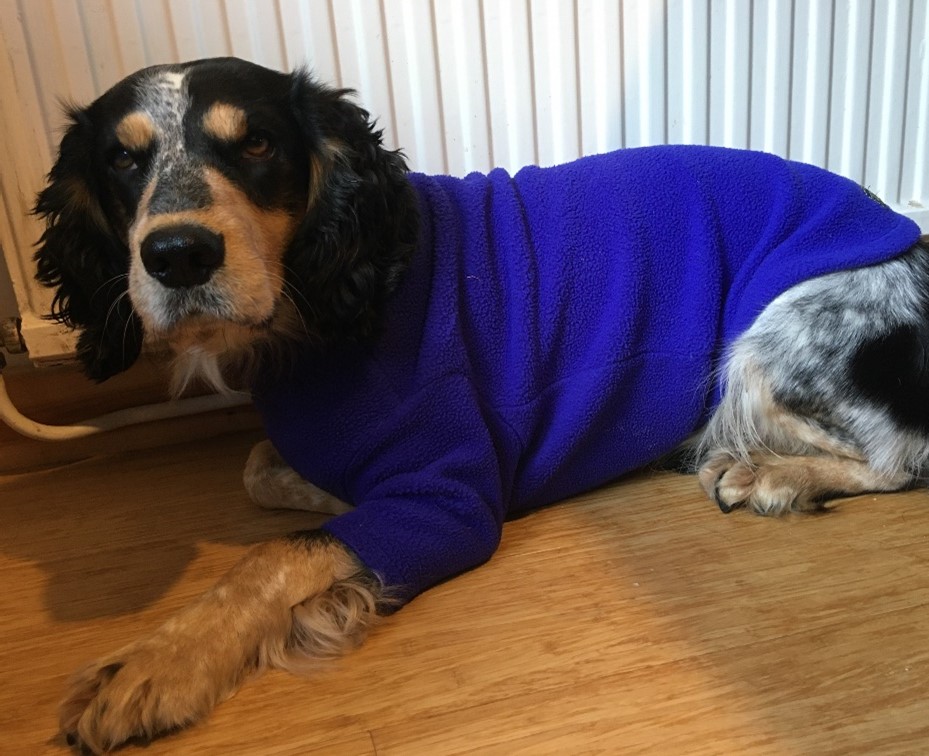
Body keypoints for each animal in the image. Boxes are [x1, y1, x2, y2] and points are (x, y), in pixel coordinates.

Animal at [32, 57, 928, 752]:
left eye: (254, 142)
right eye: (121, 160)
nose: (177, 254)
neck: (343, 293)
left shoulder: (451, 499)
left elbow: (277, 555)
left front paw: (152, 666)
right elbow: (261, 469)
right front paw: (324, 488)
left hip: (770, 341)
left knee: (900, 456)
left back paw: (772, 474)